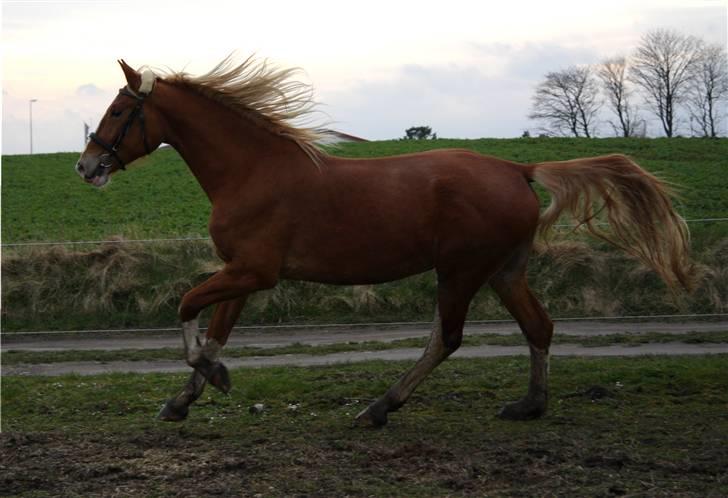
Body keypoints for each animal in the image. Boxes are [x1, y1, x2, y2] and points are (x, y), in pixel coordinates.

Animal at [75, 57, 692, 424]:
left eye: (117, 110)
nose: (86, 167)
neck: (252, 171)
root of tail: (518, 169)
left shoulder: (254, 271)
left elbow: (186, 309)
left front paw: (213, 379)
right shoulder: (241, 273)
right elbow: (216, 332)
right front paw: (185, 398)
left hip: (461, 271)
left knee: (447, 338)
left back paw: (380, 406)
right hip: (503, 270)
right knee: (537, 327)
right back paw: (529, 405)